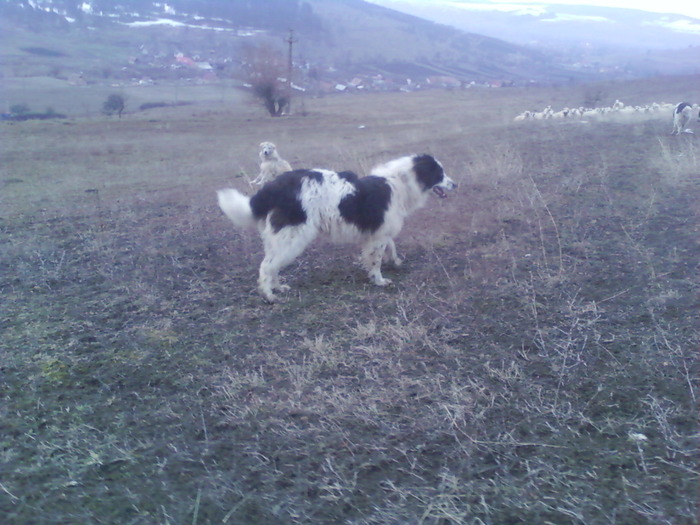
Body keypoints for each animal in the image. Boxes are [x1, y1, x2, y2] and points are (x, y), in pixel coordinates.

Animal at [219, 154, 460, 300]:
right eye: (439, 174)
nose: (455, 184)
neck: (400, 182)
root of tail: (277, 184)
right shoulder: (378, 235)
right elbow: (376, 259)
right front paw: (379, 280)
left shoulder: (380, 230)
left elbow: (390, 246)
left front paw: (395, 261)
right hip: (292, 236)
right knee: (266, 266)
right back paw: (269, 295)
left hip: (279, 237)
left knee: (272, 264)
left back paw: (278, 287)